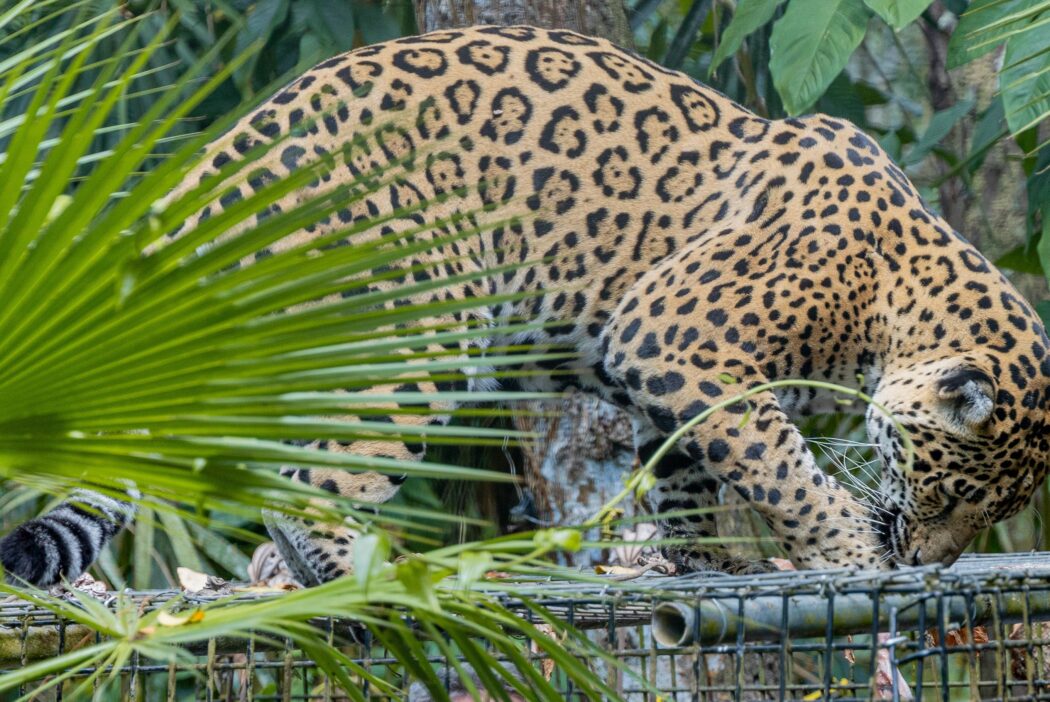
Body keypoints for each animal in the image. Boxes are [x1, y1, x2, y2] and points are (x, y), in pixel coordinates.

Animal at [3, 25, 1049, 588]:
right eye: (955, 492)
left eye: (986, 507)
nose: (932, 561)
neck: (892, 293)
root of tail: (223, 154)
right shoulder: (678, 337)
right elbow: (782, 470)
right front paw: (850, 553)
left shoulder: (674, 388)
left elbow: (691, 478)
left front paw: (711, 568)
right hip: (417, 318)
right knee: (316, 477)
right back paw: (356, 581)